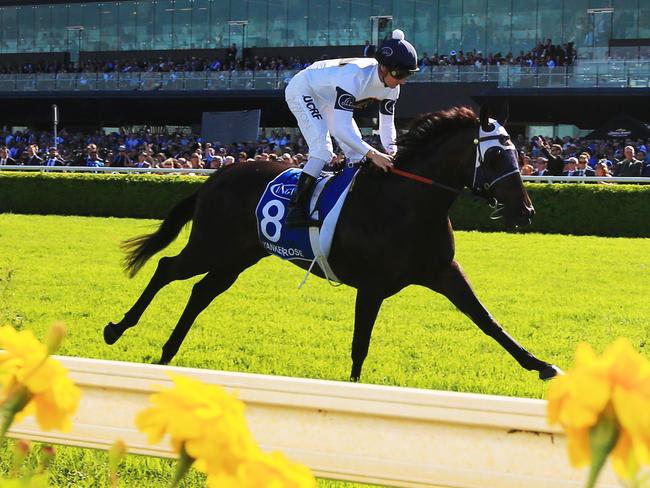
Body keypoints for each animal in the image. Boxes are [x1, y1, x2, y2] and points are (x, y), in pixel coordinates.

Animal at [104, 106, 560, 382]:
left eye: (518, 154)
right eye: (497, 156)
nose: (525, 210)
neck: (406, 203)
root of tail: (218, 175)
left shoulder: (443, 272)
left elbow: (487, 320)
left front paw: (540, 365)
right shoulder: (372, 286)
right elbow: (360, 343)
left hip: (239, 255)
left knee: (201, 291)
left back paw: (167, 351)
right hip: (212, 245)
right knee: (167, 268)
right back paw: (117, 328)